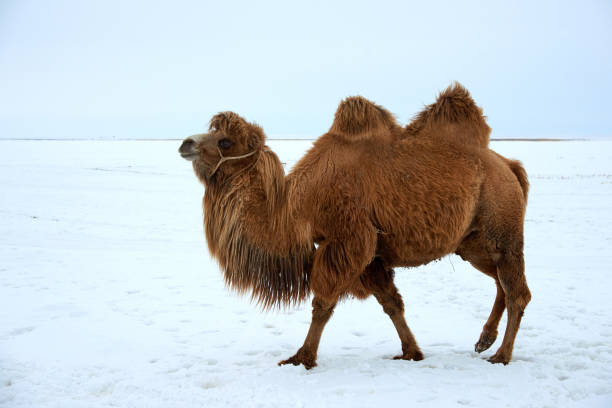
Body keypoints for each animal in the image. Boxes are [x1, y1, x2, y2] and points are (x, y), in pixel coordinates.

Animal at [178, 83, 532, 370]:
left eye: (225, 142)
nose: (185, 143)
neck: (294, 207)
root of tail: (509, 166)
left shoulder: (348, 238)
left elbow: (323, 303)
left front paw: (301, 357)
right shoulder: (371, 252)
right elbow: (392, 303)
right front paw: (411, 352)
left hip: (502, 227)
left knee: (518, 292)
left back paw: (501, 355)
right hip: (472, 242)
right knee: (501, 282)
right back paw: (484, 340)